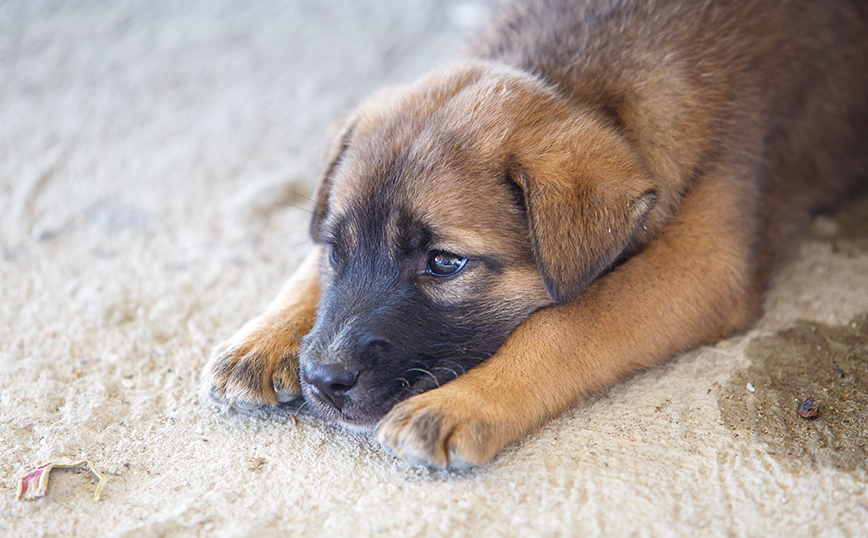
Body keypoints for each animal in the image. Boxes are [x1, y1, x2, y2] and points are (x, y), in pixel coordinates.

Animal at [198, 0, 868, 464]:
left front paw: (463, 401)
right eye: (336, 249)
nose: (323, 381)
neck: (585, 84)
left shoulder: (703, 264)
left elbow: (568, 322)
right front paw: (265, 336)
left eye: (445, 263)